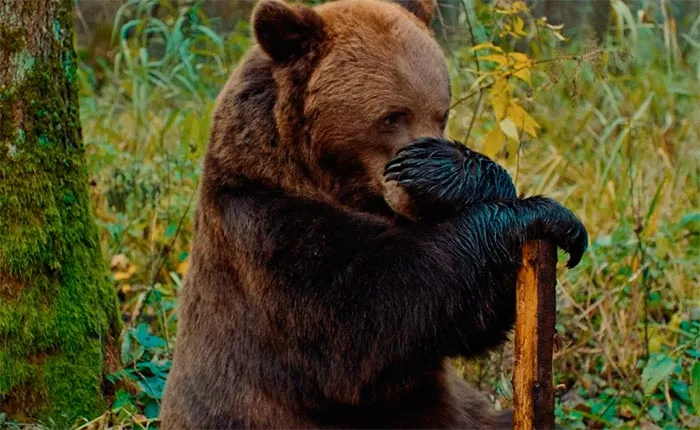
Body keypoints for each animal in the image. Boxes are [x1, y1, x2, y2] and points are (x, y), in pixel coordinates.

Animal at [159, 0, 588, 428]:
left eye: (442, 113)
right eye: (392, 116)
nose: (414, 196)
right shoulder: (262, 238)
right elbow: (372, 311)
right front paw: (537, 213)